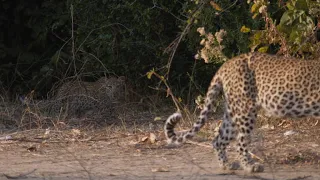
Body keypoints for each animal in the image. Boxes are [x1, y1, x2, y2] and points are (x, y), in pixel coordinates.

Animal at [165, 52, 320, 173]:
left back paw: (227, 165)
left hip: (232, 111)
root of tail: (227, 64)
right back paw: (250, 166)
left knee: (218, 139)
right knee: (240, 141)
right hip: (245, 109)